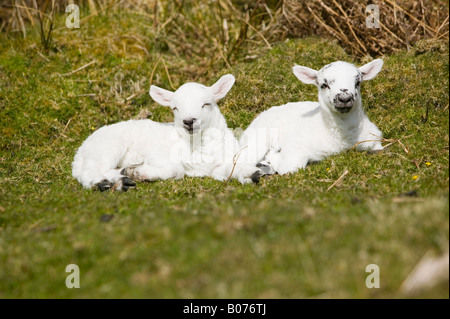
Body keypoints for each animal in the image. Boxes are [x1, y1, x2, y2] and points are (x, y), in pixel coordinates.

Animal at [71, 74, 262, 191]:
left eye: (206, 104)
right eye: (175, 108)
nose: (189, 121)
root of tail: (79, 153)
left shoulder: (220, 165)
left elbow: (231, 169)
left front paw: (251, 174)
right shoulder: (157, 156)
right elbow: (177, 169)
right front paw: (140, 173)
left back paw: (121, 179)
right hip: (107, 148)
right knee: (88, 172)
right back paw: (103, 183)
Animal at [241, 58, 384, 176]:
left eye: (357, 82)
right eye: (324, 85)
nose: (344, 98)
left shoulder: (374, 140)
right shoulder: (294, 148)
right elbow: (289, 168)